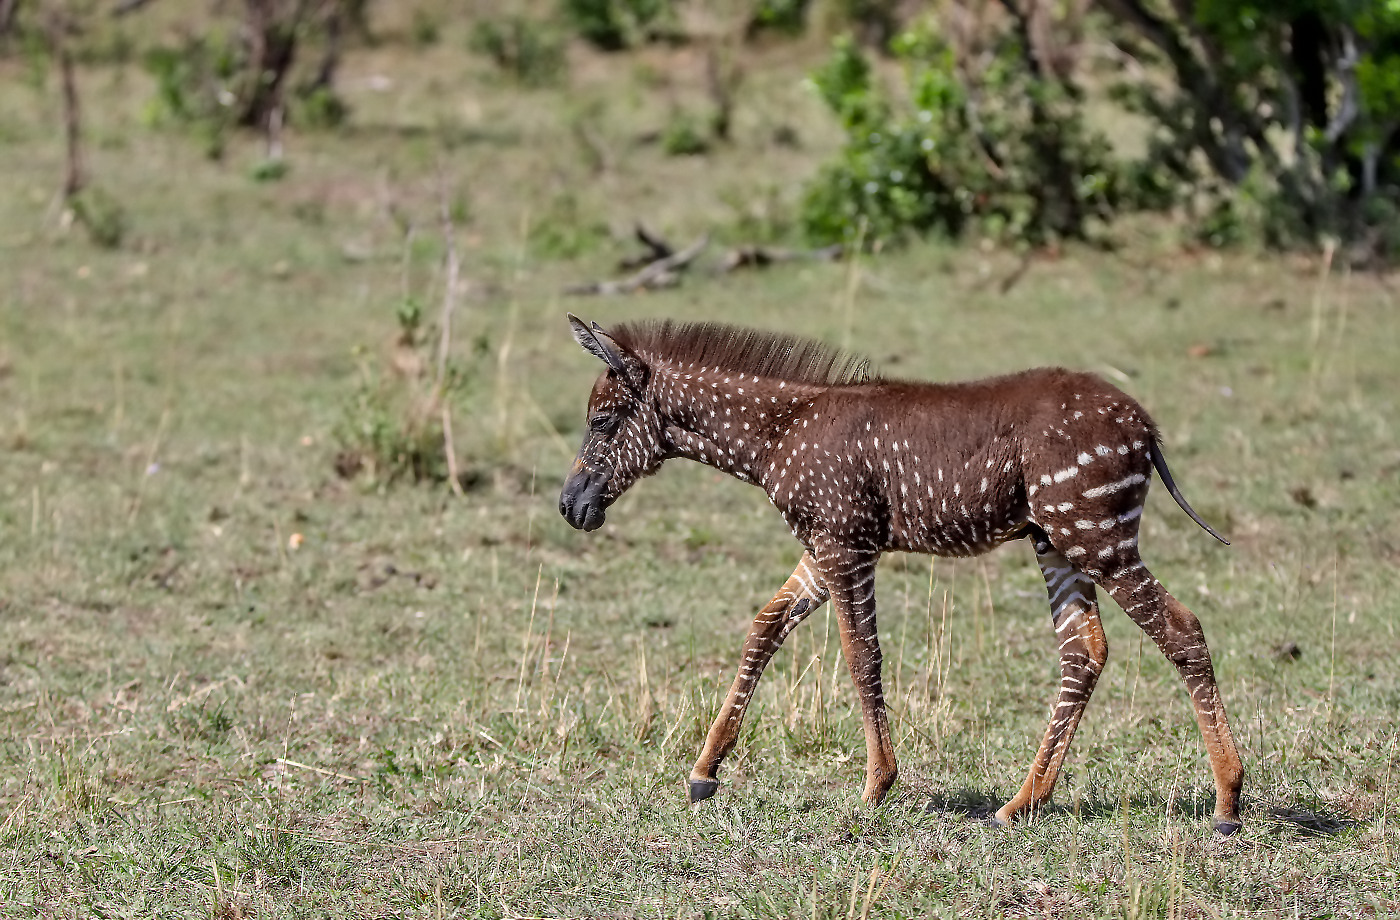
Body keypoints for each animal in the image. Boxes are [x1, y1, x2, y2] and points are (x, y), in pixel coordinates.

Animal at [557, 313, 1248, 834]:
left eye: (601, 421)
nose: (570, 506)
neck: (777, 435)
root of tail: (1144, 423)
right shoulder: (826, 546)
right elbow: (765, 627)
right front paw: (705, 771)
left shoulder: (845, 547)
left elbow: (861, 656)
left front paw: (874, 786)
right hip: (1057, 539)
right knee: (1085, 651)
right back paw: (1022, 802)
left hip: (1097, 536)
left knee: (1181, 630)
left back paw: (1227, 801)